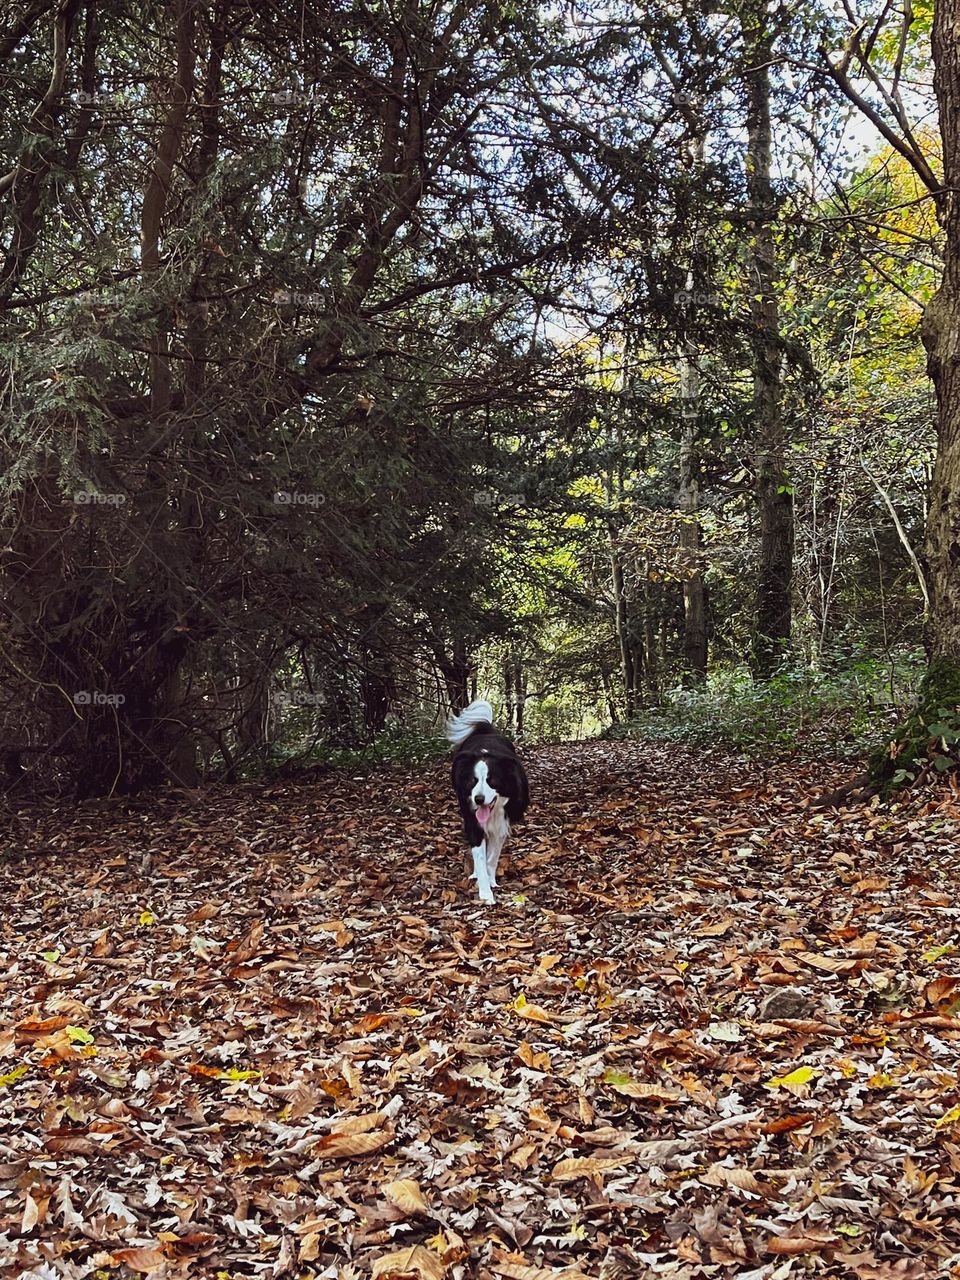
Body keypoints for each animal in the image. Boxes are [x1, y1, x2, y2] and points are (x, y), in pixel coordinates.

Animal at [448, 701, 529, 901]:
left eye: (492, 781)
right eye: (473, 781)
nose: (478, 799)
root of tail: (487, 730)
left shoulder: (502, 823)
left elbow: (492, 856)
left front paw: (491, 880)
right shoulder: (473, 821)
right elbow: (480, 854)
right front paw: (485, 892)